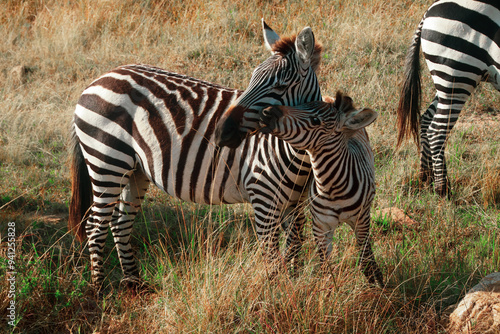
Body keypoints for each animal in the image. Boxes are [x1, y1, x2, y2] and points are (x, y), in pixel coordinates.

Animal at [68, 20, 322, 288]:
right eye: (252, 78)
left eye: (280, 86)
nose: (221, 131)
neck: (296, 155)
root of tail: (99, 79)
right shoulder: (263, 199)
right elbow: (272, 259)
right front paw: (274, 292)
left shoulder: (295, 205)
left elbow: (294, 249)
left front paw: (293, 288)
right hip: (107, 160)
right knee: (95, 226)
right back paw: (99, 289)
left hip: (134, 170)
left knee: (120, 223)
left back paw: (134, 284)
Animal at [258, 92, 382, 288]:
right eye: (300, 104)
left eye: (316, 120)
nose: (267, 111)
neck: (333, 187)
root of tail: (329, 97)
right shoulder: (320, 227)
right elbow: (325, 267)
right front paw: (329, 291)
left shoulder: (362, 221)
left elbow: (366, 259)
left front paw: (376, 287)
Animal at [396, 0, 498, 197]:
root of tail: (428, 12)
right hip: (459, 75)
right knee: (438, 131)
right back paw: (442, 190)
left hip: (446, 80)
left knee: (426, 120)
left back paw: (426, 178)